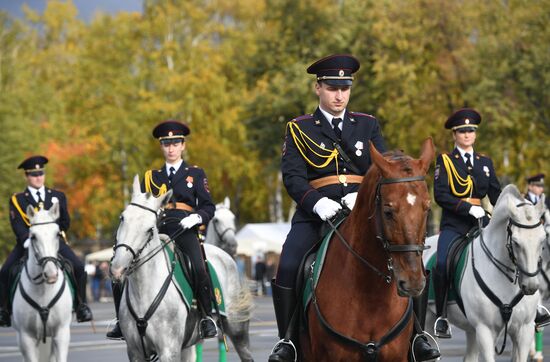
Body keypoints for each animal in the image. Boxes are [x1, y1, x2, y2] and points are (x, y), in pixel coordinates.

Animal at [12, 204, 73, 362]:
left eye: (57, 234)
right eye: (33, 236)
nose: (51, 274)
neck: (43, 289)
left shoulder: (62, 333)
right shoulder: (26, 338)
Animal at [110, 177, 256, 362]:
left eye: (150, 229)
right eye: (122, 218)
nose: (118, 268)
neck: (143, 290)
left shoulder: (169, 350)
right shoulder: (136, 352)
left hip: (238, 331)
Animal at [426, 185, 548, 360]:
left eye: (542, 239)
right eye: (516, 242)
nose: (530, 286)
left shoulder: (524, 330)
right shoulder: (485, 330)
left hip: (471, 330)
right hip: (429, 323)